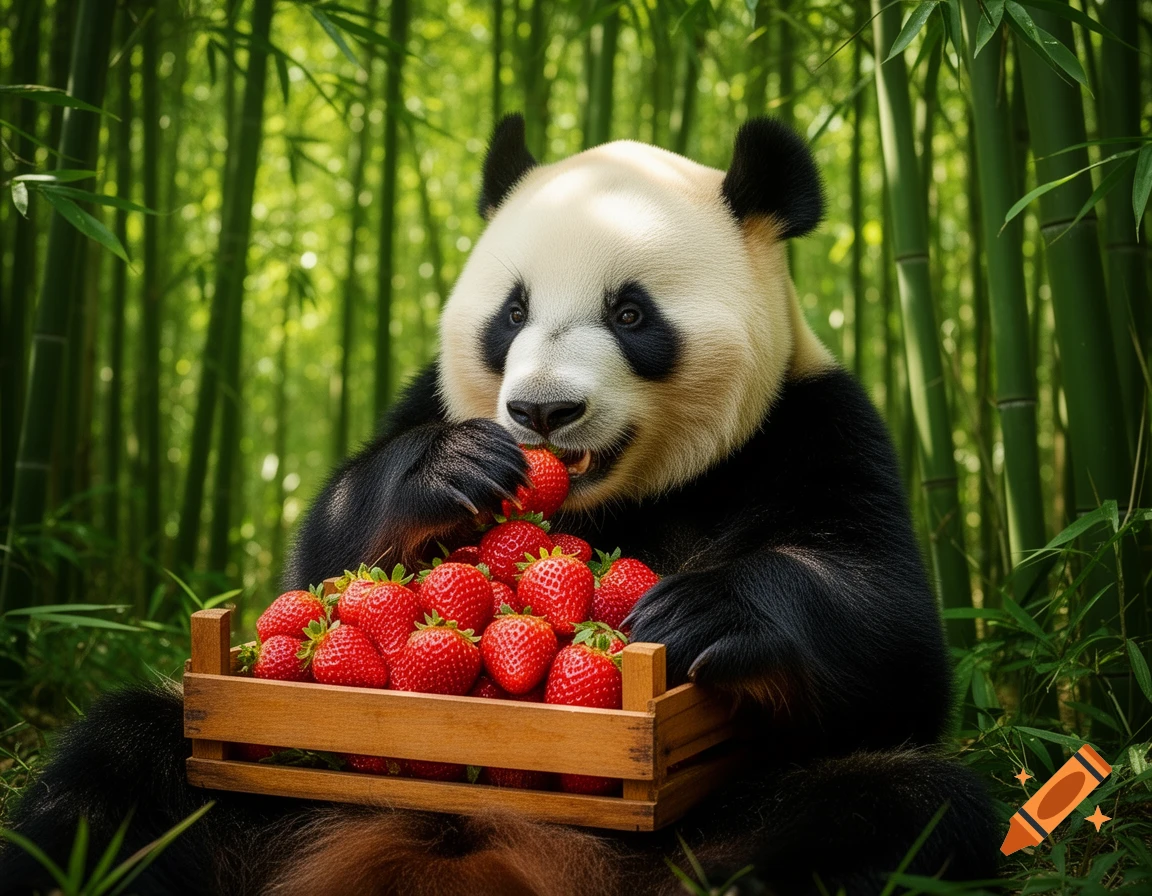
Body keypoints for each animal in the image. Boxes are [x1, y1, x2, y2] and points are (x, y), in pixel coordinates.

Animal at [0, 116, 999, 895]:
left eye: (631, 314)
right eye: (511, 314)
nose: (542, 412)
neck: (609, 500)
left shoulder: (810, 426)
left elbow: (892, 638)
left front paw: (696, 611)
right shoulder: (422, 399)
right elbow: (319, 559)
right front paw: (454, 469)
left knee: (891, 808)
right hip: (273, 793)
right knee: (117, 774)